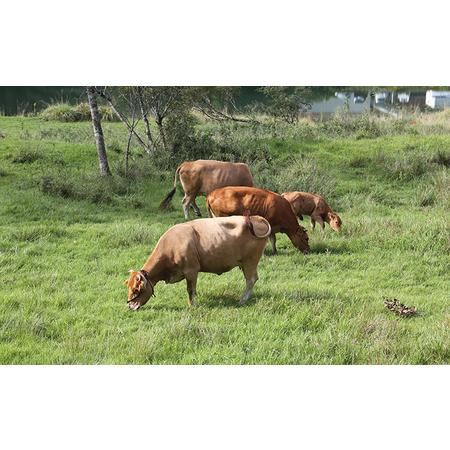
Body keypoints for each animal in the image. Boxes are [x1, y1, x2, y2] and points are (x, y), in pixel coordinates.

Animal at [123, 215, 270, 310]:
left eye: (137, 290)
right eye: (129, 288)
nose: (130, 306)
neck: (172, 244)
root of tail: (254, 218)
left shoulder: (191, 271)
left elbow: (190, 290)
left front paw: (192, 305)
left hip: (250, 261)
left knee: (251, 279)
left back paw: (242, 300)